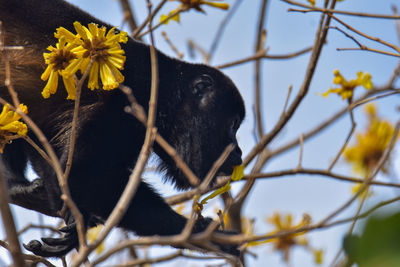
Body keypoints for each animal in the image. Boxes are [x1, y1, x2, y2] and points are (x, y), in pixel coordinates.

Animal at [0, 0, 244, 258]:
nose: (238, 152)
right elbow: (82, 172)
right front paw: (205, 234)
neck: (163, 94)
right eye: (232, 125)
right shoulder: (123, 105)